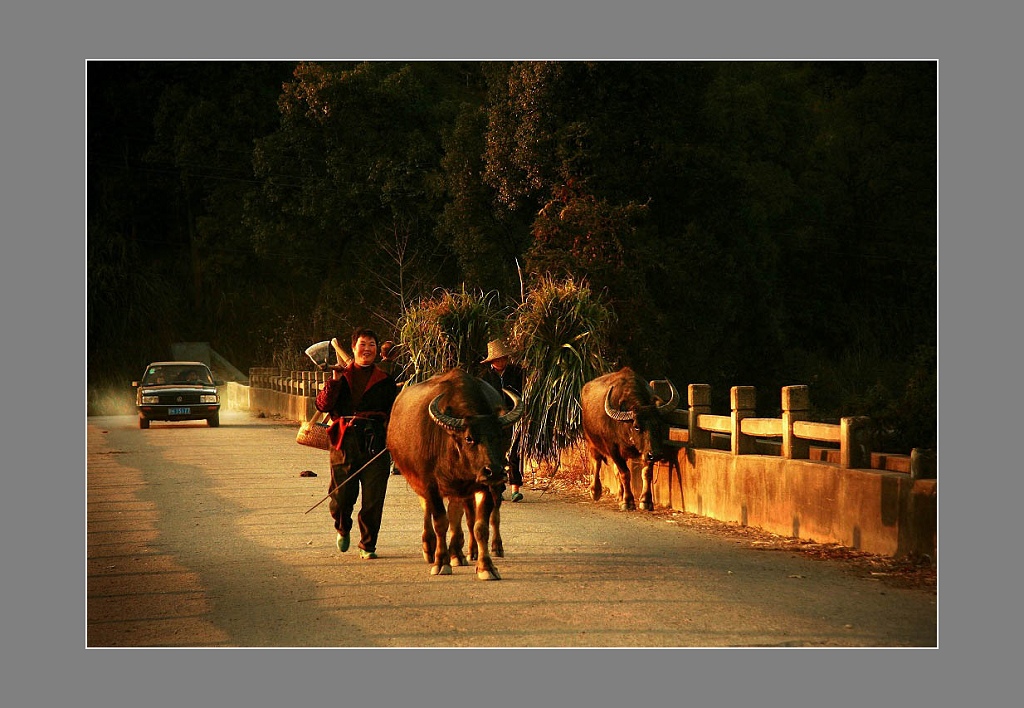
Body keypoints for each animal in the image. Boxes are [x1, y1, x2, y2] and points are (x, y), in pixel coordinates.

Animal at [387, 368, 524, 577]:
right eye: (469, 438)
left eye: (501, 435)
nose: (494, 471)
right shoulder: (431, 484)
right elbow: (440, 522)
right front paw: (441, 562)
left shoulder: (485, 486)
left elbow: (480, 526)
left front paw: (486, 567)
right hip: (418, 481)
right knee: (428, 510)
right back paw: (430, 548)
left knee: (456, 514)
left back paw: (458, 554)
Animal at [581, 368, 675, 512]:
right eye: (636, 426)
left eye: (658, 424)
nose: (656, 454)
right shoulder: (613, 449)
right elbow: (625, 474)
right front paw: (628, 502)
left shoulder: (647, 450)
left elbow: (646, 473)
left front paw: (646, 501)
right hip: (591, 441)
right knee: (597, 462)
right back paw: (595, 491)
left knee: (615, 471)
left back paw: (620, 495)